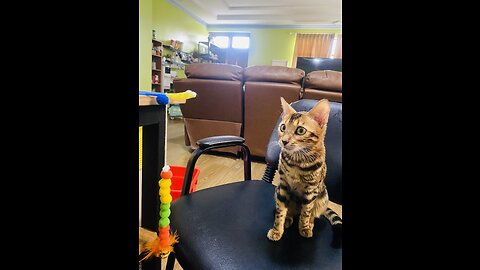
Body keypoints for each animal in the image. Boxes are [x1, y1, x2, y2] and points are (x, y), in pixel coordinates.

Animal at [266, 97, 342, 243]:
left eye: (300, 130)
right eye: (283, 127)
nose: (284, 141)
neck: (297, 162)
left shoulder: (310, 191)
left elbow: (306, 212)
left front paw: (304, 228)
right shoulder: (283, 186)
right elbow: (280, 211)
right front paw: (277, 230)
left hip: (323, 195)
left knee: (313, 213)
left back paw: (310, 223)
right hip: (276, 190)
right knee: (290, 211)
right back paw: (289, 218)